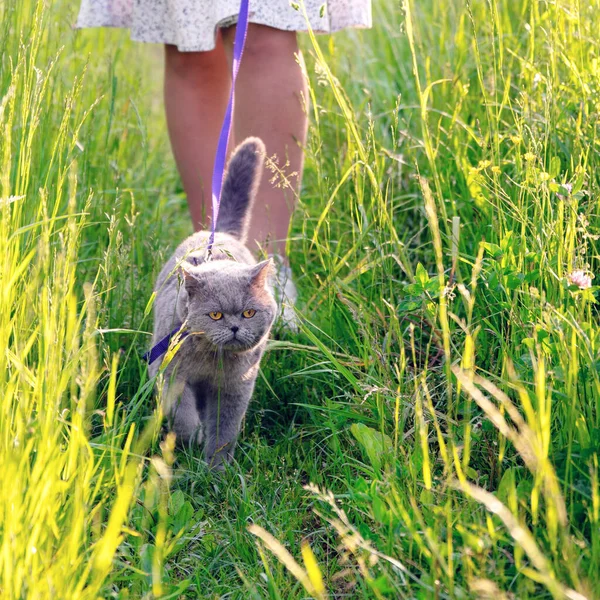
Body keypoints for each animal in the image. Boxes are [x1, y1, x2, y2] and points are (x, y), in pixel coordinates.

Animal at [152, 137, 278, 468]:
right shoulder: (169, 371)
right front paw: (192, 437)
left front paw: (217, 469)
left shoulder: (236, 386)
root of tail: (220, 232)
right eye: (216, 315)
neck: (211, 360)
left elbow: (224, 429)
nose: (234, 327)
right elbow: (182, 414)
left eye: (249, 312)